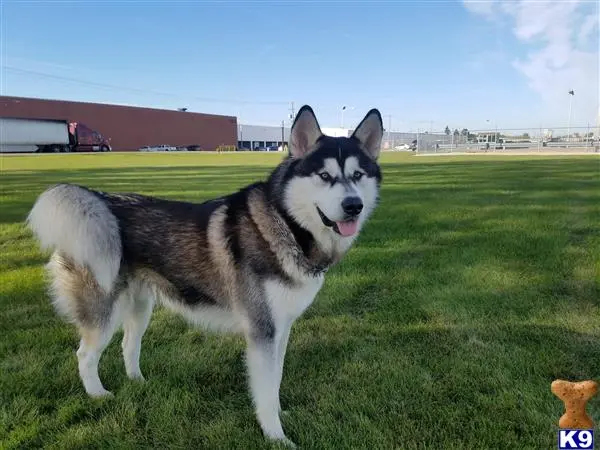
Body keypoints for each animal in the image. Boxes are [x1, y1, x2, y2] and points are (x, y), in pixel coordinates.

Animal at [25, 105, 382, 446]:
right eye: (324, 175)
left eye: (358, 175)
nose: (354, 205)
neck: (287, 225)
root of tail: (99, 201)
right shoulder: (262, 332)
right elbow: (265, 392)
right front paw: (277, 437)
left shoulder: (281, 329)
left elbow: (276, 380)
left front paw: (282, 414)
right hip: (103, 312)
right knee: (85, 355)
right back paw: (98, 395)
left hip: (140, 307)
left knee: (129, 344)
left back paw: (138, 383)